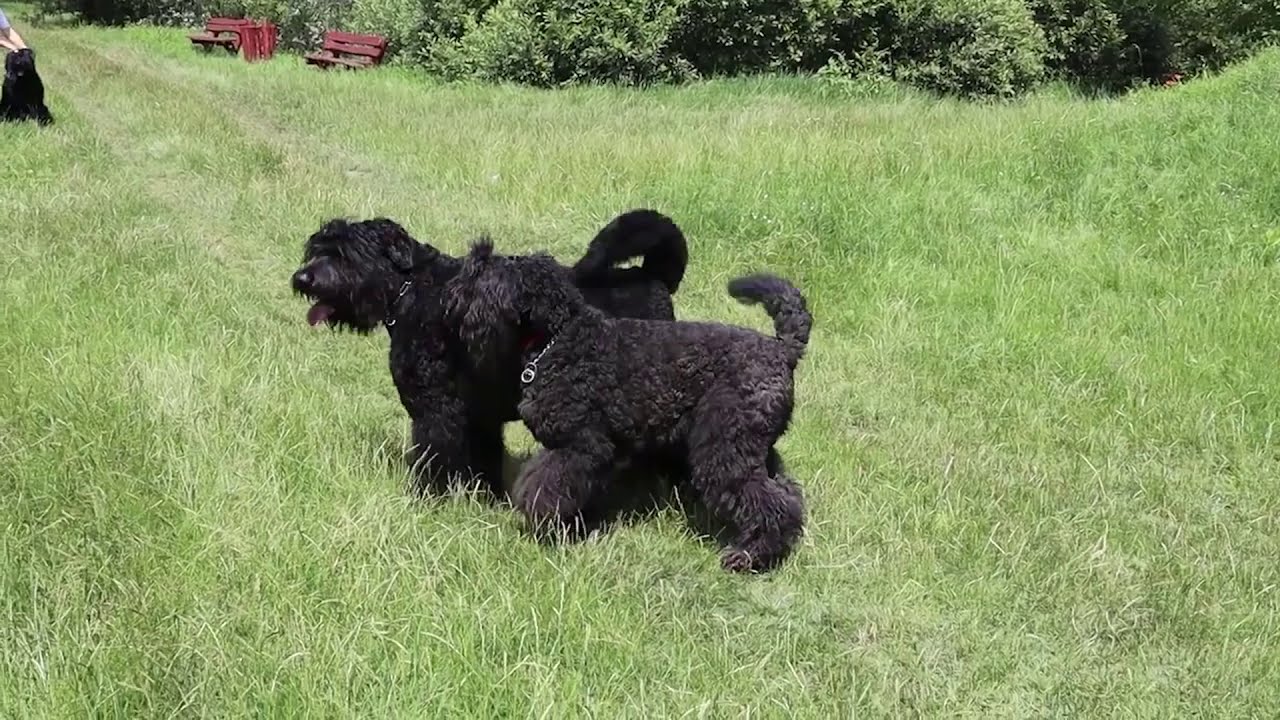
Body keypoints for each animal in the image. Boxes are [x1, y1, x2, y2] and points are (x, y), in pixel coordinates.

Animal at [290, 210, 691, 497]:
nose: (302, 278)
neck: (412, 290)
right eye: (317, 248)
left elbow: (432, 458)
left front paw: (425, 500)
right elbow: (484, 459)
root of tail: (653, 277)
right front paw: (485, 498)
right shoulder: (479, 414)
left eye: (344, 253)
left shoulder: (435, 409)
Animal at [445, 240, 814, 571]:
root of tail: (783, 350)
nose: (452, 294)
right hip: (753, 449)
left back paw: (748, 557)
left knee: (769, 505)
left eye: (482, 275)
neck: (559, 338)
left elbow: (543, 486)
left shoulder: (580, 446)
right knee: (788, 496)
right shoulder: (594, 455)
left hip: (724, 449)